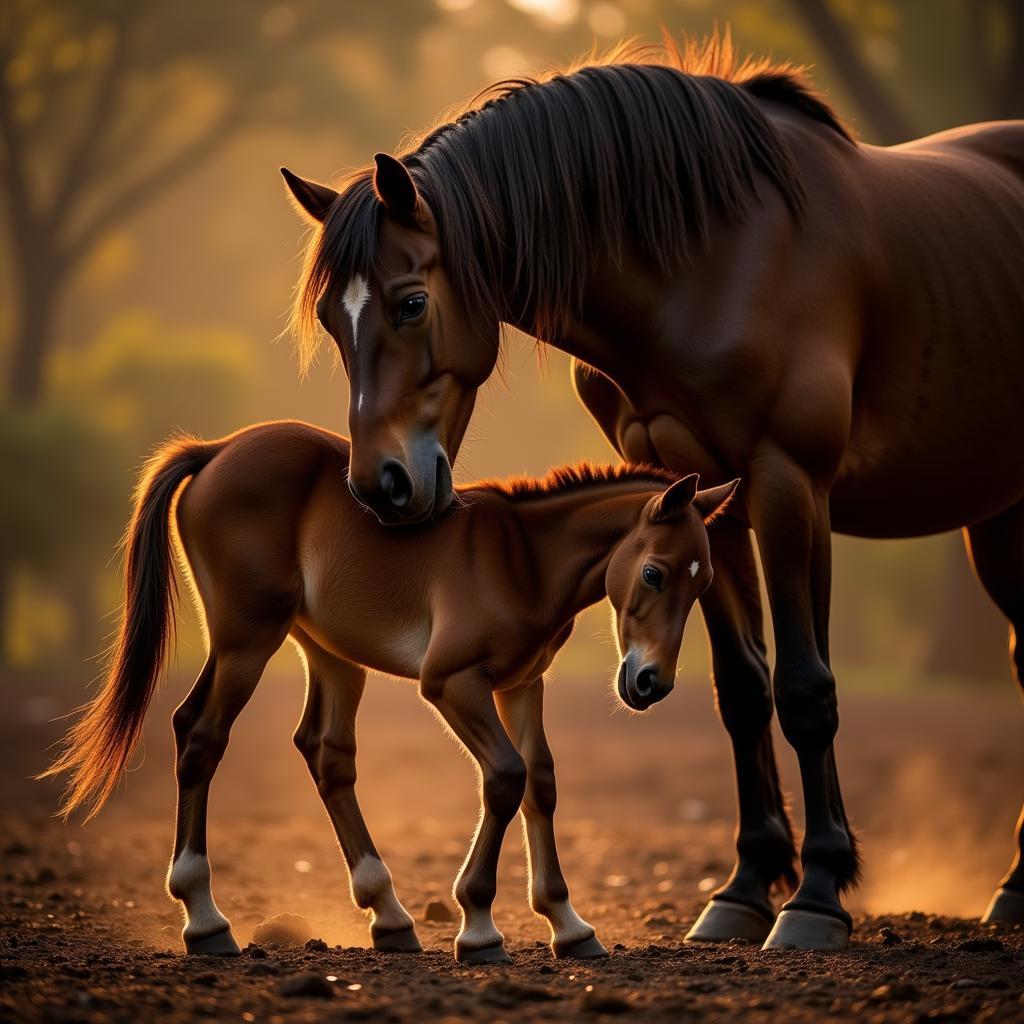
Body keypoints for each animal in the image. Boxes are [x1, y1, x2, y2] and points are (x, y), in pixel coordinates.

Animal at [44, 419, 737, 962]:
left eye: (701, 584)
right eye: (655, 573)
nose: (650, 683)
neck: (524, 561)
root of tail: (215, 450)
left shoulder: (522, 685)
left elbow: (540, 781)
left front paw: (569, 926)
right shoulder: (453, 683)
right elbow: (506, 776)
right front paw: (479, 928)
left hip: (329, 654)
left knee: (325, 753)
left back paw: (390, 915)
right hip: (247, 639)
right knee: (200, 734)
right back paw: (206, 918)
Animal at [278, 34, 1024, 950]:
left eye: (411, 303)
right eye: (333, 323)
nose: (380, 488)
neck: (714, 259)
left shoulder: (788, 485)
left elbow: (805, 689)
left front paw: (815, 896)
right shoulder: (702, 497)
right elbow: (743, 689)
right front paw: (742, 891)